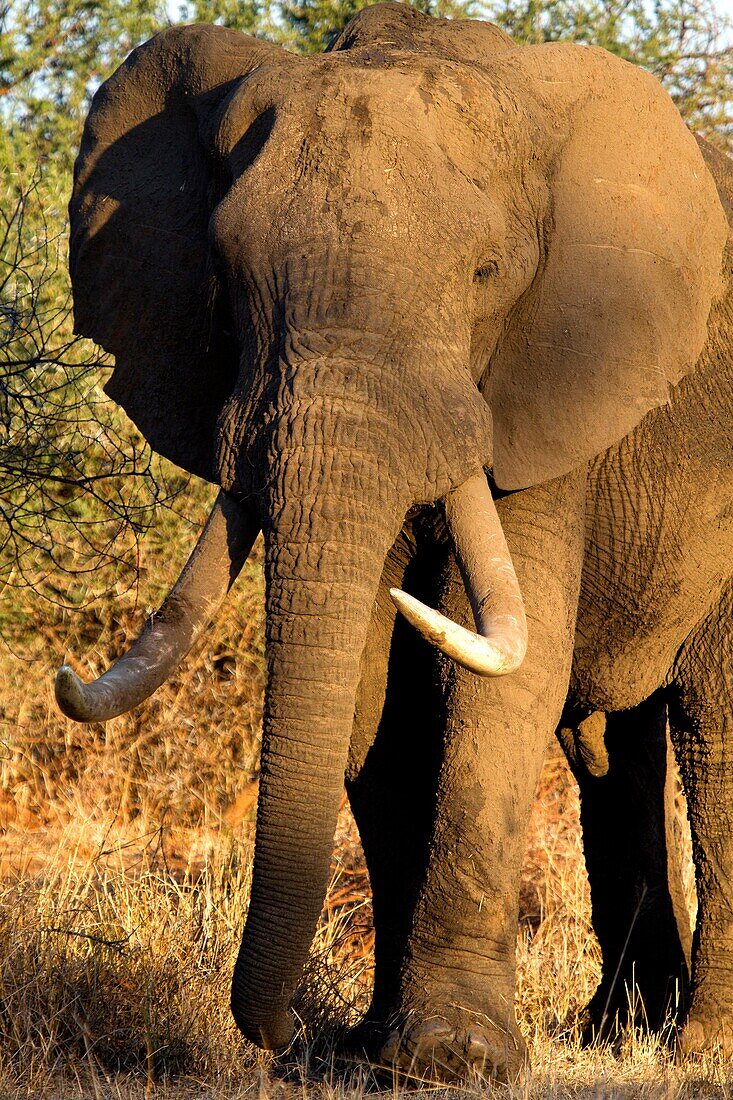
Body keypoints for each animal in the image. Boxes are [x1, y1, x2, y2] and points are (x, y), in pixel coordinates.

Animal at [54, 0, 726, 1082]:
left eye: (486, 275)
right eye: (227, 275)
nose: (290, 1033)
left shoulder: (547, 388)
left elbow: (492, 674)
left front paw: (452, 1059)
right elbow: (375, 689)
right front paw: (377, 1051)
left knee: (711, 728)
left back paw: (696, 1045)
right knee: (610, 750)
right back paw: (616, 1030)